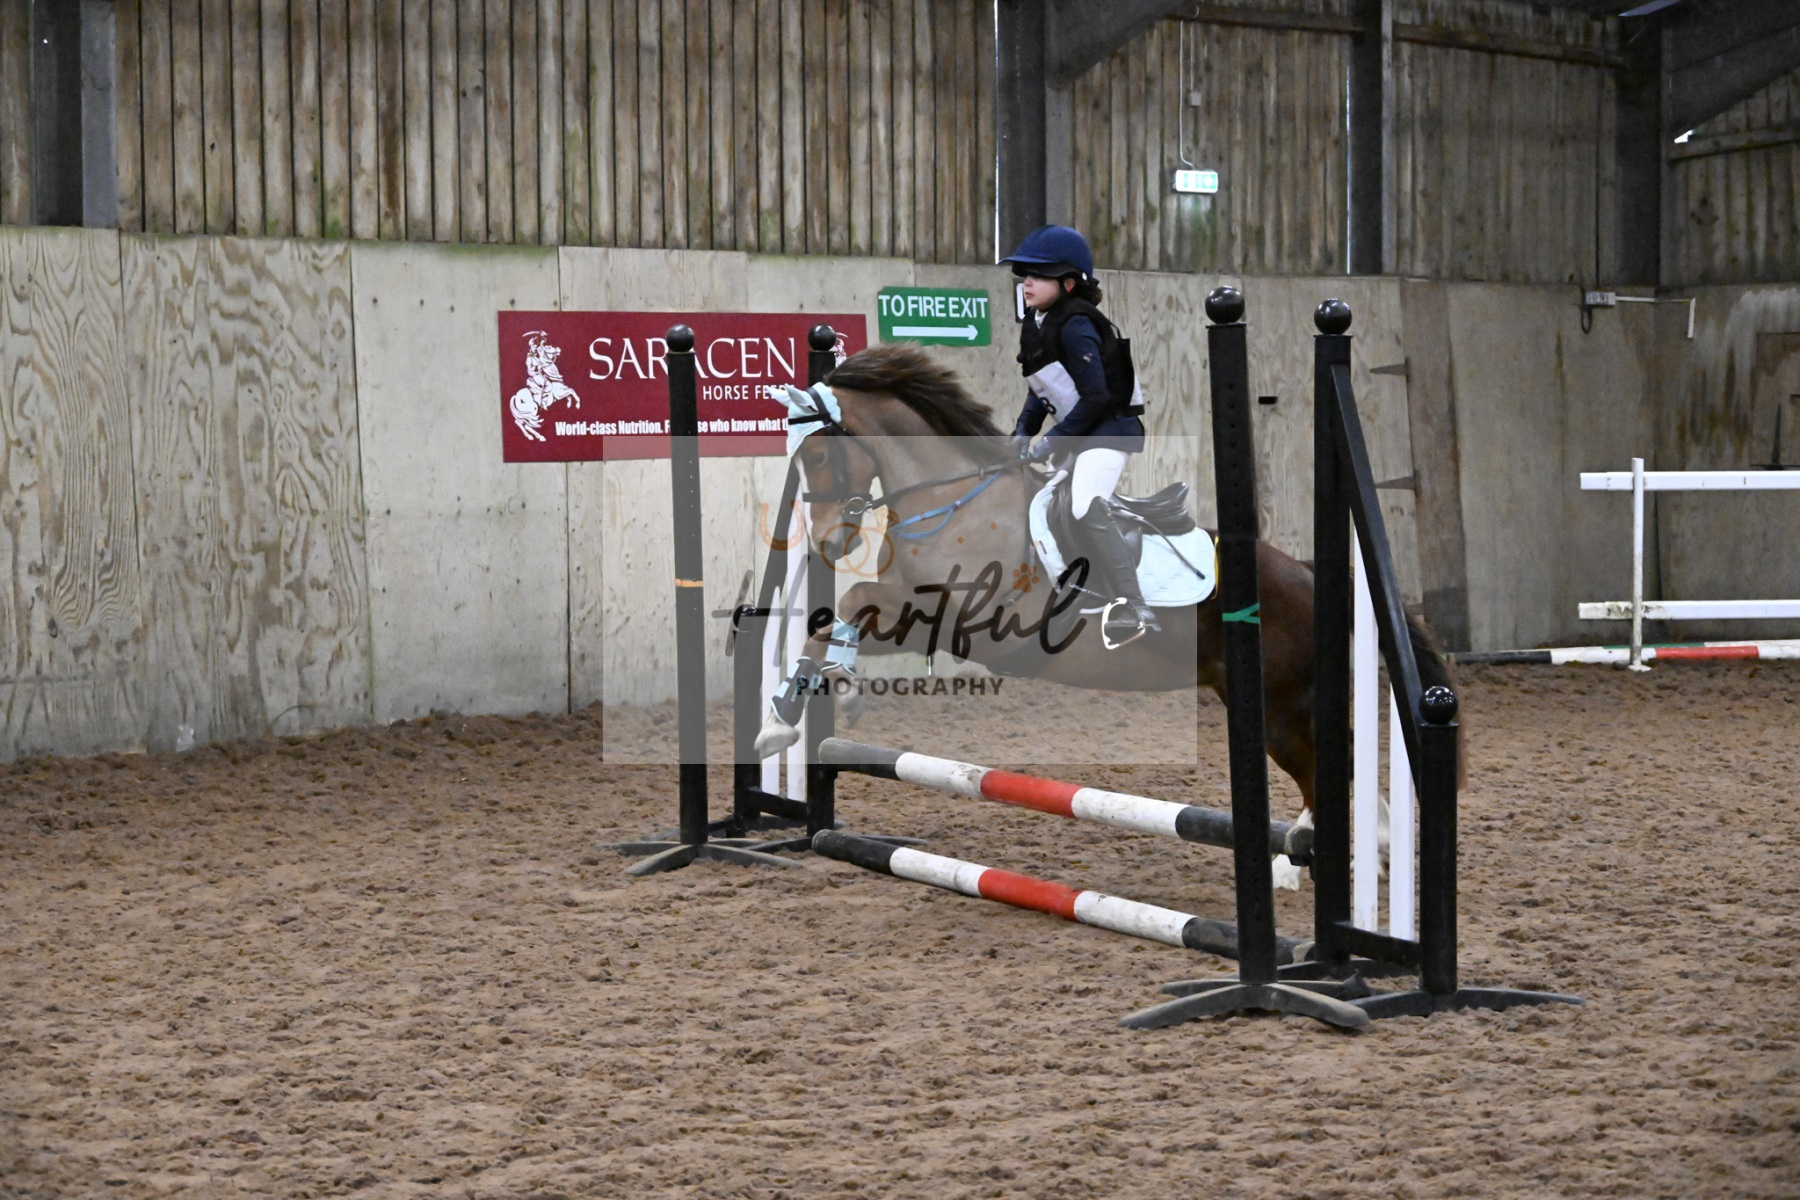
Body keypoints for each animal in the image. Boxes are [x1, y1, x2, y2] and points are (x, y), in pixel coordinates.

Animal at [755, 343, 1452, 839]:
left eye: (817, 457)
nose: (828, 543)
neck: (952, 499)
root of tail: (1305, 574)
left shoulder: (970, 622)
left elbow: (850, 606)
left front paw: (829, 699)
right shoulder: (920, 612)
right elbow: (834, 620)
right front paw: (789, 719)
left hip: (1278, 707)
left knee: (1322, 776)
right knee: (1335, 774)